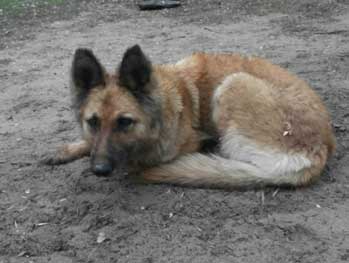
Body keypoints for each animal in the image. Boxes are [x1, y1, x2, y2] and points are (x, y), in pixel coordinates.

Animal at [42, 45, 334, 190]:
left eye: (124, 122)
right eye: (92, 122)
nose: (100, 170)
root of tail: (317, 152)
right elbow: (88, 143)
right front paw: (67, 150)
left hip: (232, 83)